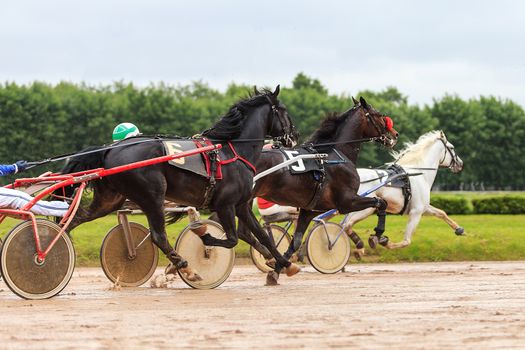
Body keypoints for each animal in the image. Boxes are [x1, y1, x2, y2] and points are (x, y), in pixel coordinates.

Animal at [62, 87, 300, 282]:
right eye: (284, 110)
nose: (295, 135)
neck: (232, 151)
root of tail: (109, 150)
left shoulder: (241, 205)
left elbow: (262, 236)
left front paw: (283, 263)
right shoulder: (225, 205)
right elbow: (231, 239)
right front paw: (203, 235)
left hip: (110, 200)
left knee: (75, 218)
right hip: (153, 196)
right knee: (158, 236)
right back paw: (186, 267)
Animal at [239, 96, 396, 284]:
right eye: (379, 115)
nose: (395, 135)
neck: (333, 155)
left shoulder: (309, 210)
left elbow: (296, 241)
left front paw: (277, 271)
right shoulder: (347, 201)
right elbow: (381, 202)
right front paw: (378, 236)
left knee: (243, 232)